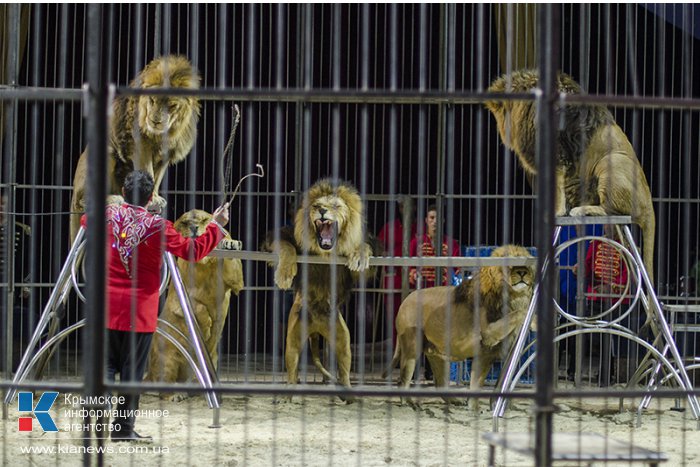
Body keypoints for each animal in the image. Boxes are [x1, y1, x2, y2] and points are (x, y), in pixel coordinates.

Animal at [146, 210, 245, 400]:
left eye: (205, 220)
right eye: (185, 222)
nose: (194, 228)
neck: (208, 264)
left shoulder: (234, 282)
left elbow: (232, 266)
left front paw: (230, 243)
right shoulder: (180, 297)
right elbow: (200, 308)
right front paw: (206, 330)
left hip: (212, 360)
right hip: (167, 359)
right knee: (164, 386)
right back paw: (175, 395)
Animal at [260, 179, 374, 402]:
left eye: (336, 206)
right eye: (316, 205)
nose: (322, 210)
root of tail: (316, 329)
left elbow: (362, 248)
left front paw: (359, 255)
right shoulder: (281, 239)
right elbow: (286, 246)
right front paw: (284, 274)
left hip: (343, 341)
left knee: (345, 371)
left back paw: (349, 395)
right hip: (293, 341)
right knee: (292, 371)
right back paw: (287, 393)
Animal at [386, 245, 532, 410]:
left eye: (526, 265)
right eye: (511, 266)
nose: (522, 272)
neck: (513, 298)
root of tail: (405, 300)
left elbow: (502, 379)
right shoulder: (487, 340)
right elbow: (476, 383)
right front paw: (474, 408)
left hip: (436, 353)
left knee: (440, 384)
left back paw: (454, 401)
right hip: (412, 348)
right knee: (403, 380)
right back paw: (409, 403)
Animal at [486, 68, 656, 284]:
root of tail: (649, 204)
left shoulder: (558, 152)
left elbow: (558, 187)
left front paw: (558, 212)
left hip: (612, 162)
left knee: (613, 210)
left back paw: (581, 210)